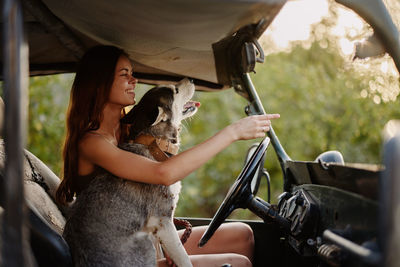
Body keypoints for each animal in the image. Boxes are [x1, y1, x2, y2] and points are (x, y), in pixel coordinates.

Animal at [63, 78, 198, 266]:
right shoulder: (163, 221)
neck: (154, 143)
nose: (191, 79)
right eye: (175, 91)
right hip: (145, 243)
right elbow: (184, 258)